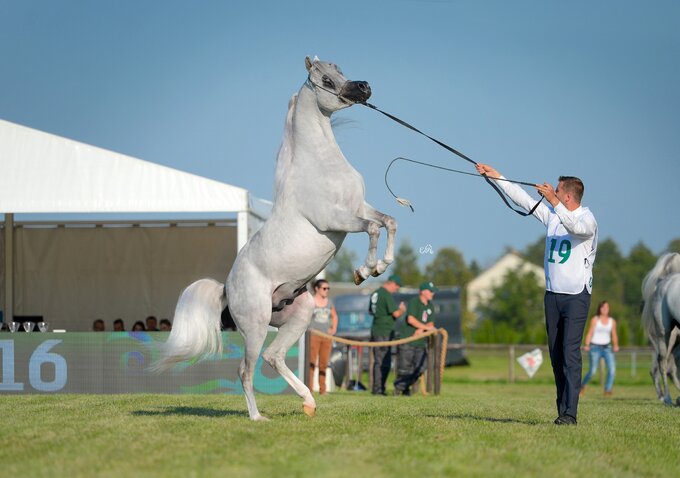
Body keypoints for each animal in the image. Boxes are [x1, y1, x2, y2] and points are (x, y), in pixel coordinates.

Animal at [153, 58, 398, 420]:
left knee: (274, 357)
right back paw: (258, 417)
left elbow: (388, 222)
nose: (364, 87)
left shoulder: (359, 208)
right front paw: (365, 271)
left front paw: (381, 265)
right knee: (245, 370)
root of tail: (226, 289)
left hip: (297, 316)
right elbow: (373, 229)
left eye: (340, 69)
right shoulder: (337, 220)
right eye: (326, 79)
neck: (321, 167)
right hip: (255, 327)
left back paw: (308, 401)